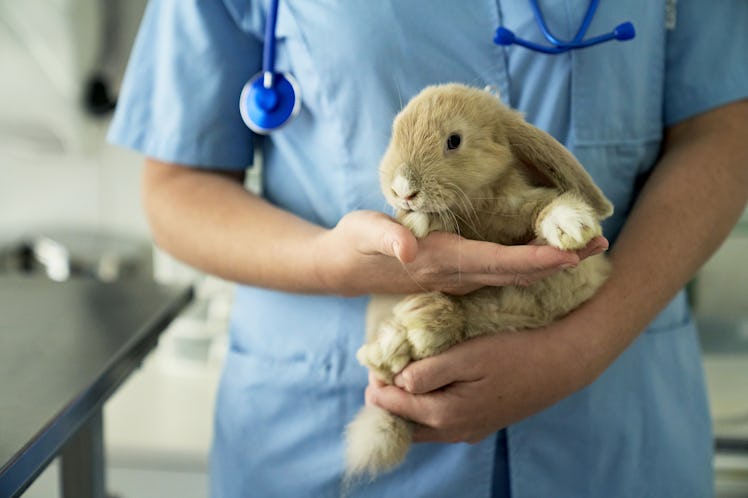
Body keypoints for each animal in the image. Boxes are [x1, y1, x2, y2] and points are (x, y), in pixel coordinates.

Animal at [344, 82, 612, 482]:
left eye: (454, 141)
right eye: (395, 132)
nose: (403, 190)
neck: (479, 206)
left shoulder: (520, 206)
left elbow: (543, 207)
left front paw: (571, 225)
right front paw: (416, 222)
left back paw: (413, 333)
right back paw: (398, 343)